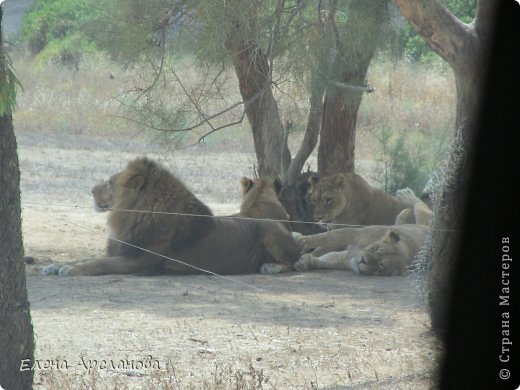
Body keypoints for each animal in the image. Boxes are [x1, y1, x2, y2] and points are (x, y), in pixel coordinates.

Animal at [42, 157, 298, 276]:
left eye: (109, 183)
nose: (91, 190)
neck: (128, 215)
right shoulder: (124, 251)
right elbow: (87, 257)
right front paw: (57, 266)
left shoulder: (139, 260)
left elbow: (100, 262)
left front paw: (72, 270)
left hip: (271, 233)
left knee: (294, 262)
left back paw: (272, 267)